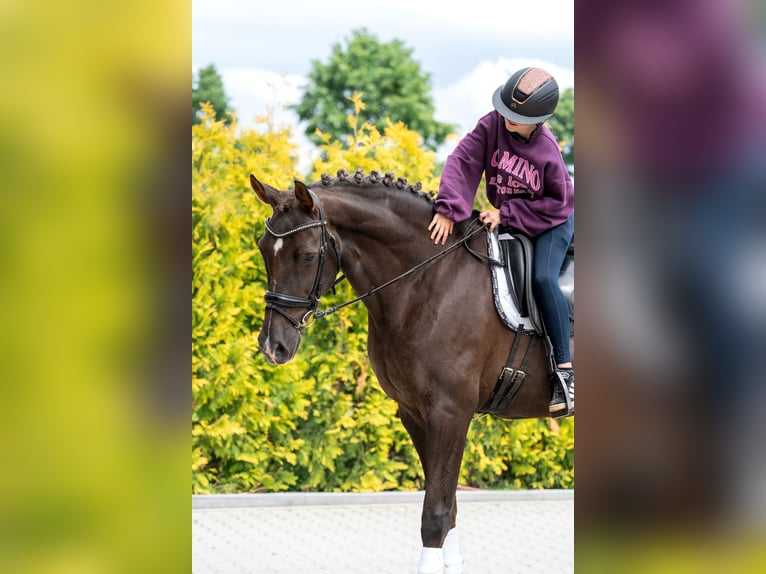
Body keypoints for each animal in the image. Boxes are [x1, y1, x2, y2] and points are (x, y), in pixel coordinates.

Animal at [249, 169, 571, 574]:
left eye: (306, 255)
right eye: (263, 248)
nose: (272, 346)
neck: (429, 279)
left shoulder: (450, 412)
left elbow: (435, 514)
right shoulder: (415, 413)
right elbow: (447, 505)